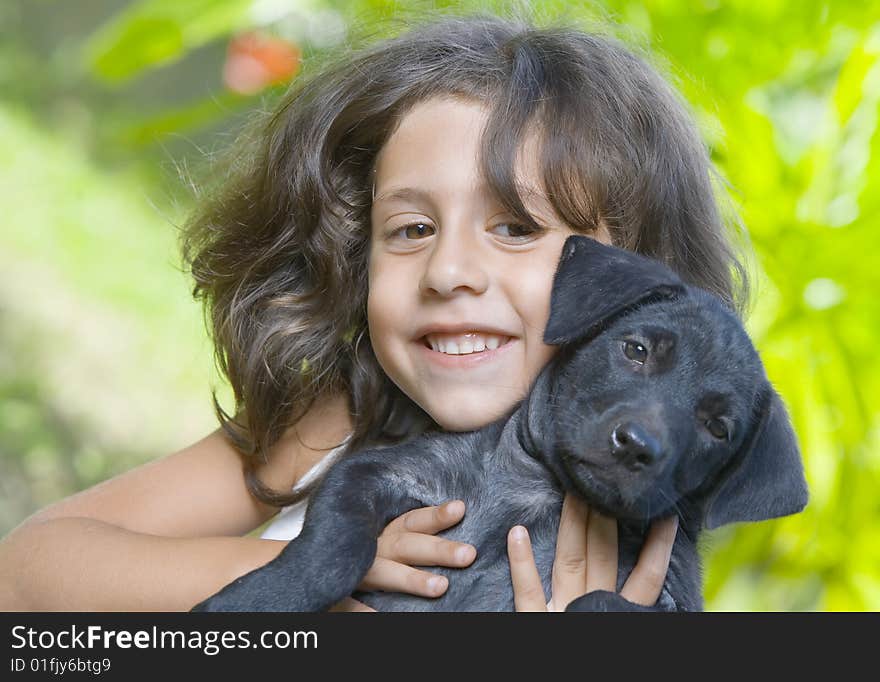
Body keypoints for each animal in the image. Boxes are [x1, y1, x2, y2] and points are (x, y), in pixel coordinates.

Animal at [194, 235, 812, 612]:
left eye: (718, 429)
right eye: (635, 350)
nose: (637, 446)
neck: (541, 494)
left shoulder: (666, 595)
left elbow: (596, 600)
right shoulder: (384, 471)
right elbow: (333, 551)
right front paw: (252, 602)